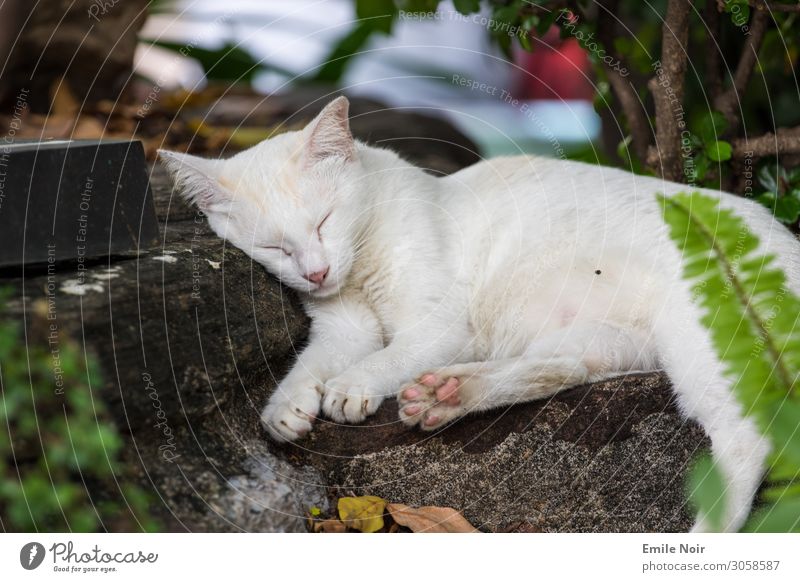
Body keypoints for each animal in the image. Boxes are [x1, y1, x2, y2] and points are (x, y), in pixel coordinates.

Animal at [159, 96, 800, 532]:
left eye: (323, 221)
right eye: (275, 248)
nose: (315, 274)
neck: (361, 264)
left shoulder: (440, 324)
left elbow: (388, 355)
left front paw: (352, 386)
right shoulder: (342, 327)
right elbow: (311, 364)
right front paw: (287, 408)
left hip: (700, 339)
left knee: (748, 439)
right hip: (602, 339)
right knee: (561, 368)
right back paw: (445, 395)